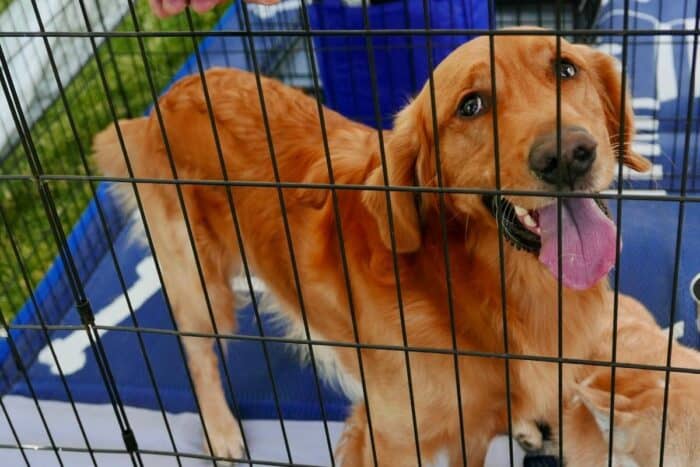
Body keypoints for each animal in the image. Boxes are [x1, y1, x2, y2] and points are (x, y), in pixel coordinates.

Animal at [93, 31, 652, 466]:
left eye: (566, 68)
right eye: (471, 105)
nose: (569, 155)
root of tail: (170, 95)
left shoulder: (471, 429)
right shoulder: (392, 437)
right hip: (200, 283)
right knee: (197, 353)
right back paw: (222, 431)